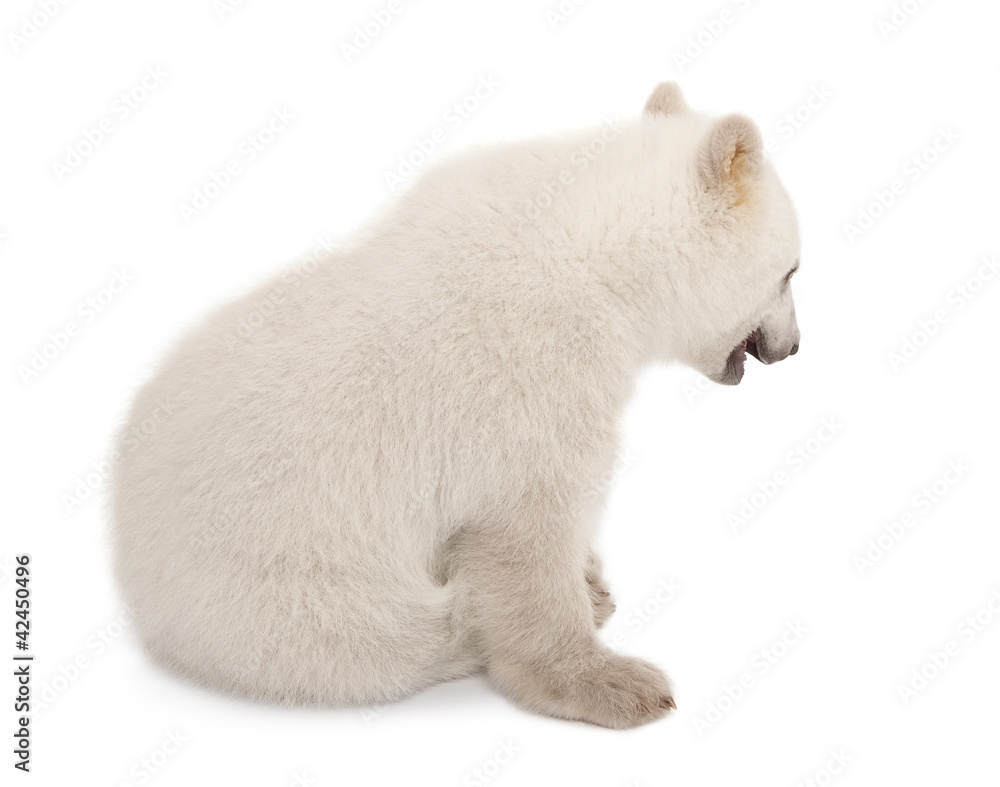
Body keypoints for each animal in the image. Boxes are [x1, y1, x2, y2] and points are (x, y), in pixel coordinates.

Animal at [110, 81, 801, 729]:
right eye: (792, 271)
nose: (793, 347)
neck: (590, 249)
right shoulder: (538, 371)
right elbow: (528, 527)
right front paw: (615, 682)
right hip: (280, 586)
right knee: (388, 637)